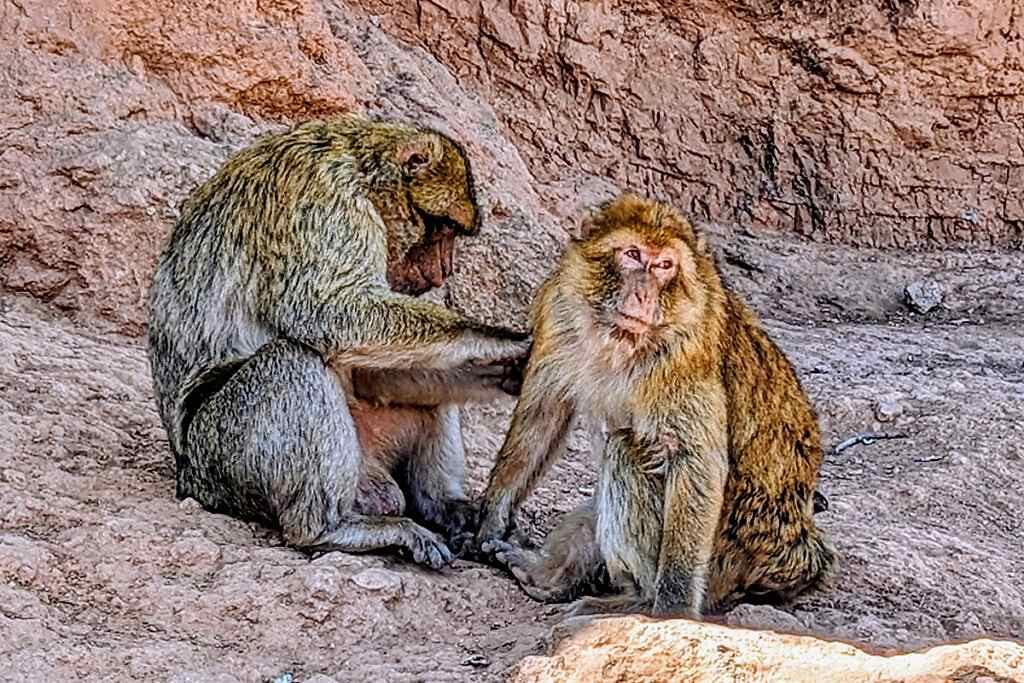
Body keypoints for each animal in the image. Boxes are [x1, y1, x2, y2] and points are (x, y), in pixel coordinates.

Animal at [147, 114, 530, 569]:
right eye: (444, 228)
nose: (444, 270)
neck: (361, 164)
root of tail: (186, 473)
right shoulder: (324, 205)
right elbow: (329, 313)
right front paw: (505, 341)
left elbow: (369, 368)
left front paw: (506, 372)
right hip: (221, 457)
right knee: (293, 360)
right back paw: (326, 529)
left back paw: (441, 506)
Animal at [473, 193, 837, 617]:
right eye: (633, 254)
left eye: (665, 265)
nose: (644, 294)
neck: (619, 338)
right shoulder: (560, 306)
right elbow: (543, 414)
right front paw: (491, 518)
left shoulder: (686, 350)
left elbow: (694, 458)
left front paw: (672, 607)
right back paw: (548, 575)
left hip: (723, 560)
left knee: (624, 451)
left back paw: (636, 599)